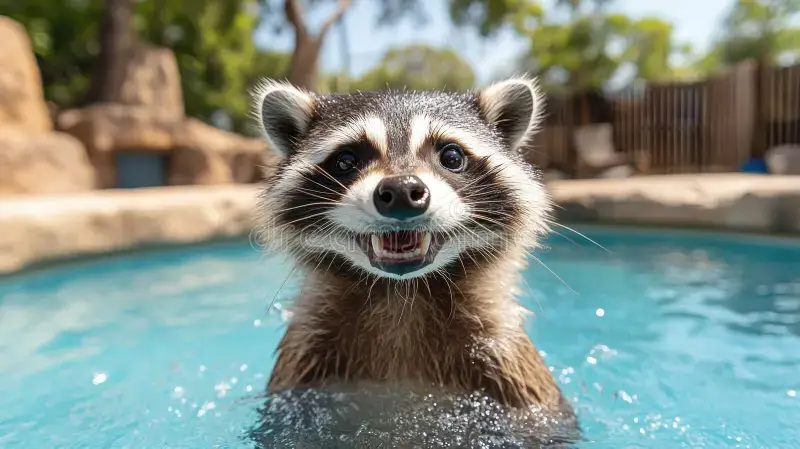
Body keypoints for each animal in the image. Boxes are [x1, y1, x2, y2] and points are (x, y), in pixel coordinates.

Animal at [250, 77, 578, 446]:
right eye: (346, 160)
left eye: (451, 156)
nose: (401, 191)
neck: (402, 295)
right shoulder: (302, 365)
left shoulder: (507, 363)